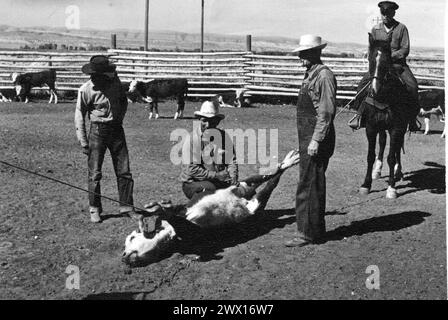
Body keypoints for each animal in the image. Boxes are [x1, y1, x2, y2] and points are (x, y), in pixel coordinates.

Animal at [356, 35, 416, 200]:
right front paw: (366, 184)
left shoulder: (396, 128)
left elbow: (391, 157)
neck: (383, 97)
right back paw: (377, 170)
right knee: (383, 142)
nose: (374, 90)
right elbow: (371, 155)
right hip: (381, 127)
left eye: (386, 61)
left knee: (397, 149)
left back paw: (398, 172)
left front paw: (391, 188)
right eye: (370, 60)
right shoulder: (371, 128)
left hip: (400, 128)